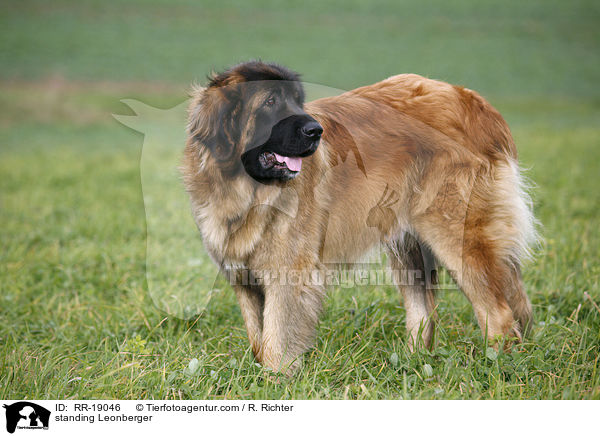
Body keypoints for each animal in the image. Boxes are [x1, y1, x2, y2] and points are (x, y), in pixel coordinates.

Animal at [180, 60, 536, 374]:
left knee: (499, 314)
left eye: (296, 100)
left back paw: (497, 367)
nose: (316, 131)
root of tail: (473, 100)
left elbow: (276, 338)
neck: (248, 190)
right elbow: (258, 335)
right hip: (408, 247)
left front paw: (274, 378)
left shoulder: (288, 274)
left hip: (456, 236)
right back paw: (411, 362)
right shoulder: (243, 278)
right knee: (423, 313)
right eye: (270, 101)